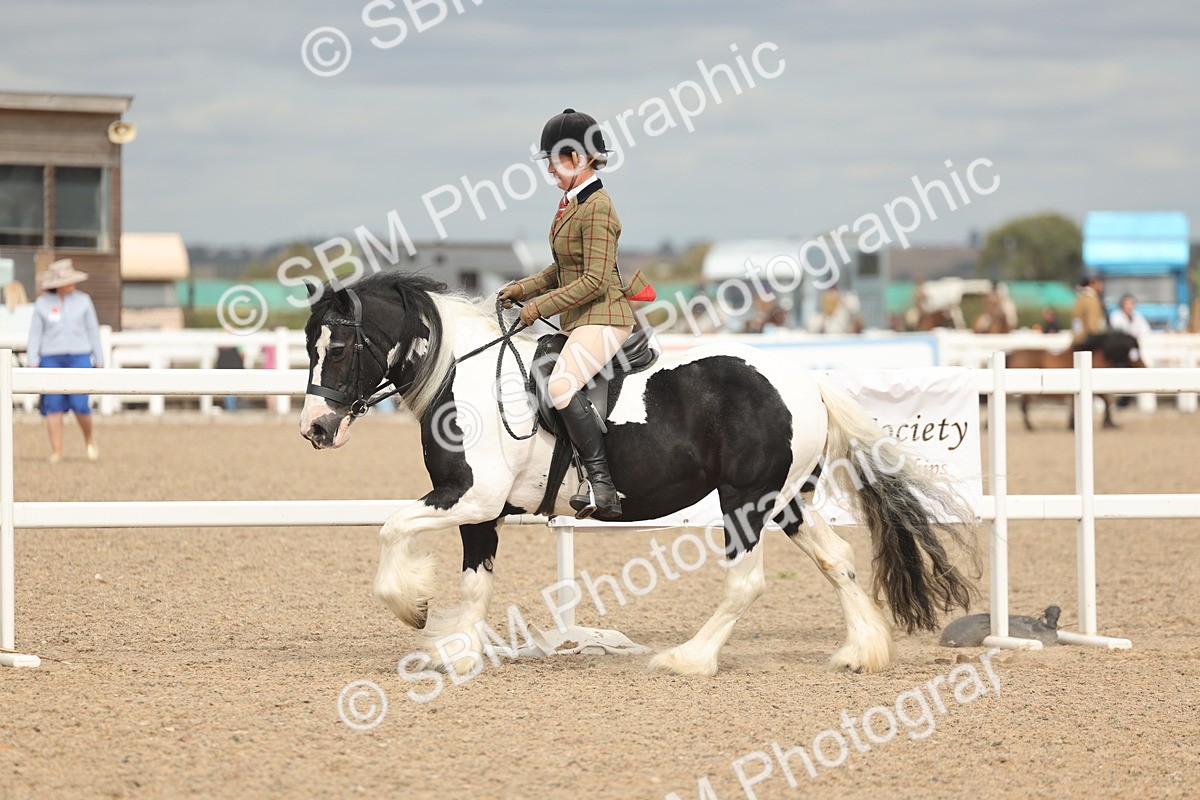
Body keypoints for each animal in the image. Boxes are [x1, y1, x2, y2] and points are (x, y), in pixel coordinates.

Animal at [298, 272, 979, 676]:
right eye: (308, 346)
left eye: (339, 347)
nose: (316, 429)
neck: (463, 379)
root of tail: (807, 380)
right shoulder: (480, 512)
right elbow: (474, 585)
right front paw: (456, 650)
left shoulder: (469, 496)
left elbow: (392, 529)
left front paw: (413, 608)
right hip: (785, 500)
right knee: (837, 559)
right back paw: (861, 652)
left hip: (744, 501)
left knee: (746, 583)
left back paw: (689, 659)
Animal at [1006, 332, 1145, 431]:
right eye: (1135, 351)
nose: (1144, 366)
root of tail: (1013, 354)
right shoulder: (1096, 389)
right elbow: (1108, 401)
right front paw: (1107, 423)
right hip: (1028, 393)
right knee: (1024, 407)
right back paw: (1030, 426)